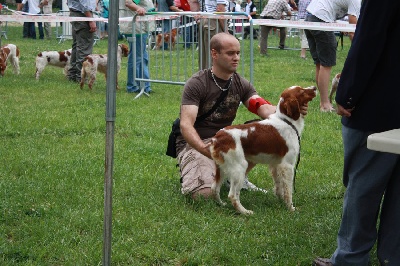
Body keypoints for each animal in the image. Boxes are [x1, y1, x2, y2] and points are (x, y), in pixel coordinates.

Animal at [211, 86, 318, 215]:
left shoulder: (276, 164)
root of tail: (217, 137)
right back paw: (245, 212)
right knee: (232, 195)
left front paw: (280, 201)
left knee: (214, 188)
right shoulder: (287, 165)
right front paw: (290, 208)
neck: (287, 121)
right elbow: (288, 190)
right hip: (240, 167)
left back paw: (221, 204)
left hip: (221, 168)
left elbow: (279, 186)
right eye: (301, 91)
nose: (314, 87)